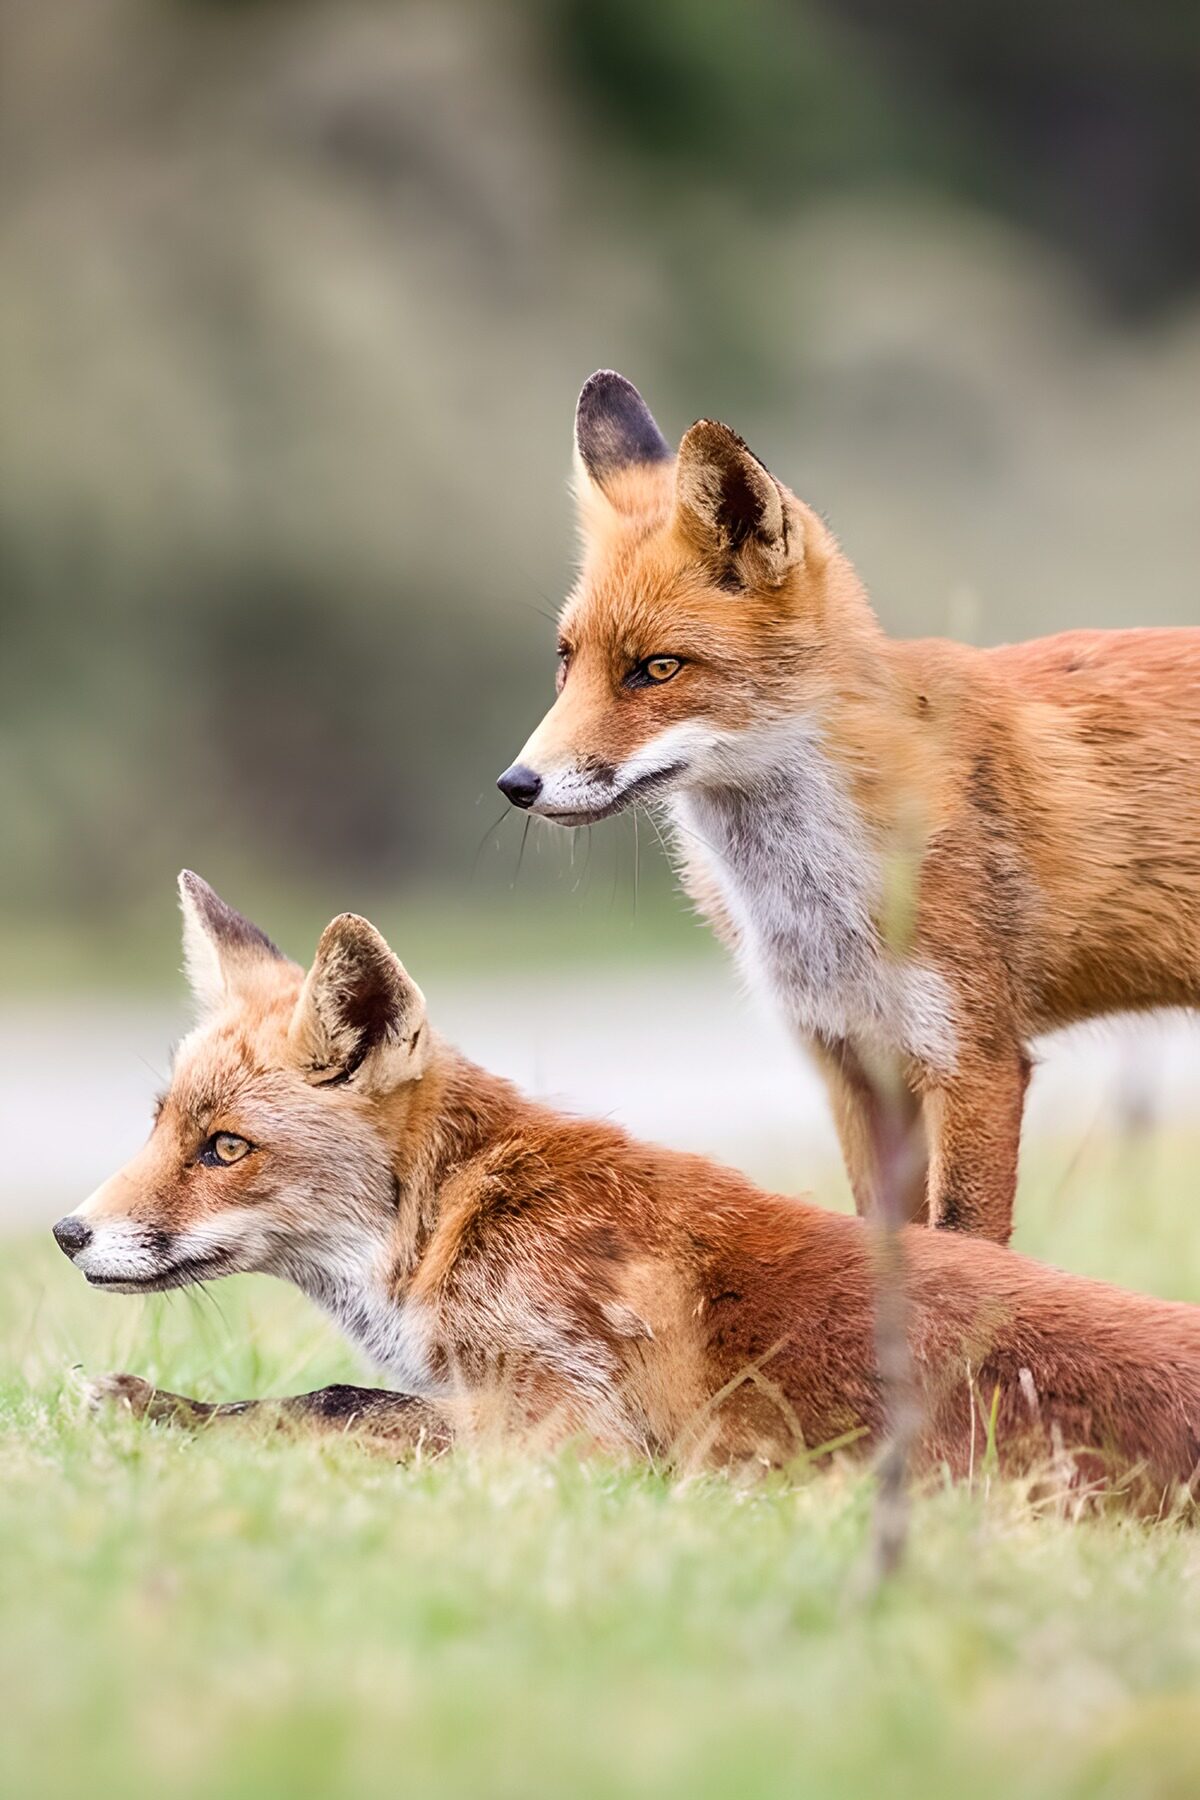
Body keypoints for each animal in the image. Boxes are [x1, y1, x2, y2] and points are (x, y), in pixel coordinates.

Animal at [52, 873, 1200, 1501]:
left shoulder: (579, 1434)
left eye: (225, 1149)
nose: (67, 1233)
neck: (461, 1217)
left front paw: (152, 1410)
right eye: (160, 1124)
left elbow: (333, 1402)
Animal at [498, 370, 1200, 1244]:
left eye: (657, 668)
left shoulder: (974, 1059)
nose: (517, 784)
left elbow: (964, 1244)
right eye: (567, 662)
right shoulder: (853, 1062)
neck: (813, 894)